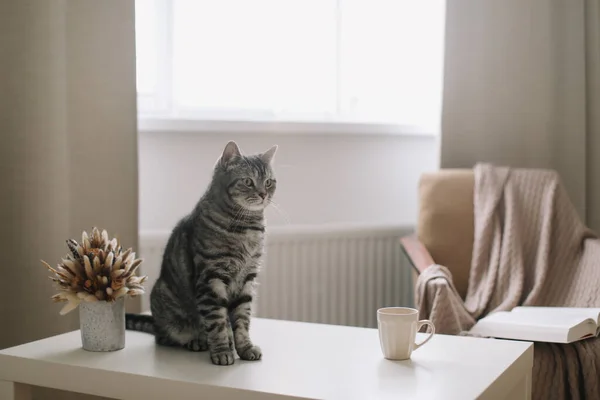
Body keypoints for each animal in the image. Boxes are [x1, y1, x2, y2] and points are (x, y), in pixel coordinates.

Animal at [126, 141, 278, 366]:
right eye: (248, 181)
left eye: (268, 182)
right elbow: (217, 322)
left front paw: (244, 347)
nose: (263, 194)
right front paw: (222, 351)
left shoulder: (247, 278)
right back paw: (197, 340)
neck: (247, 227)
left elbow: (242, 320)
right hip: (163, 297)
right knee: (164, 338)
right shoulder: (211, 278)